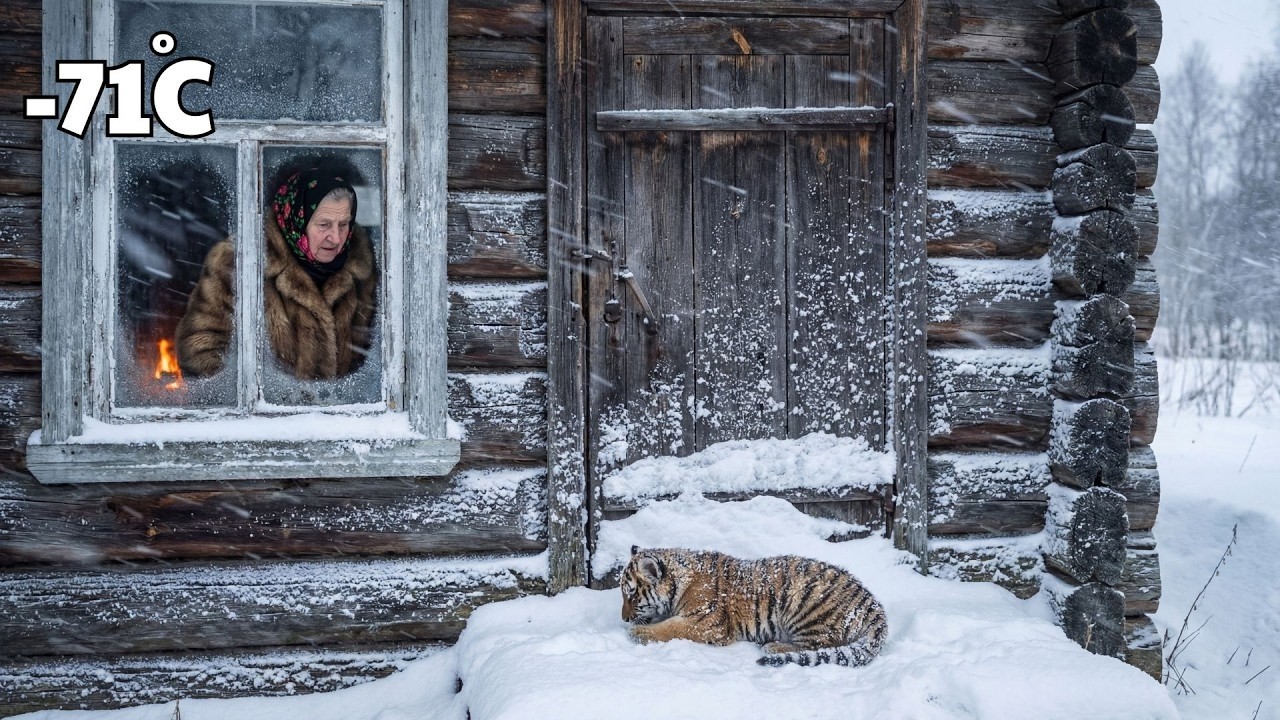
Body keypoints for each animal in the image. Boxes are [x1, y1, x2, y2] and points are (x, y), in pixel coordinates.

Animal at [619, 546, 888, 667]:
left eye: (631, 594)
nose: (623, 619)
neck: (679, 582)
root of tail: (873, 605)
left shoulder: (709, 623)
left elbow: (672, 628)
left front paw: (638, 632)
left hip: (805, 605)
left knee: (818, 645)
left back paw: (773, 646)